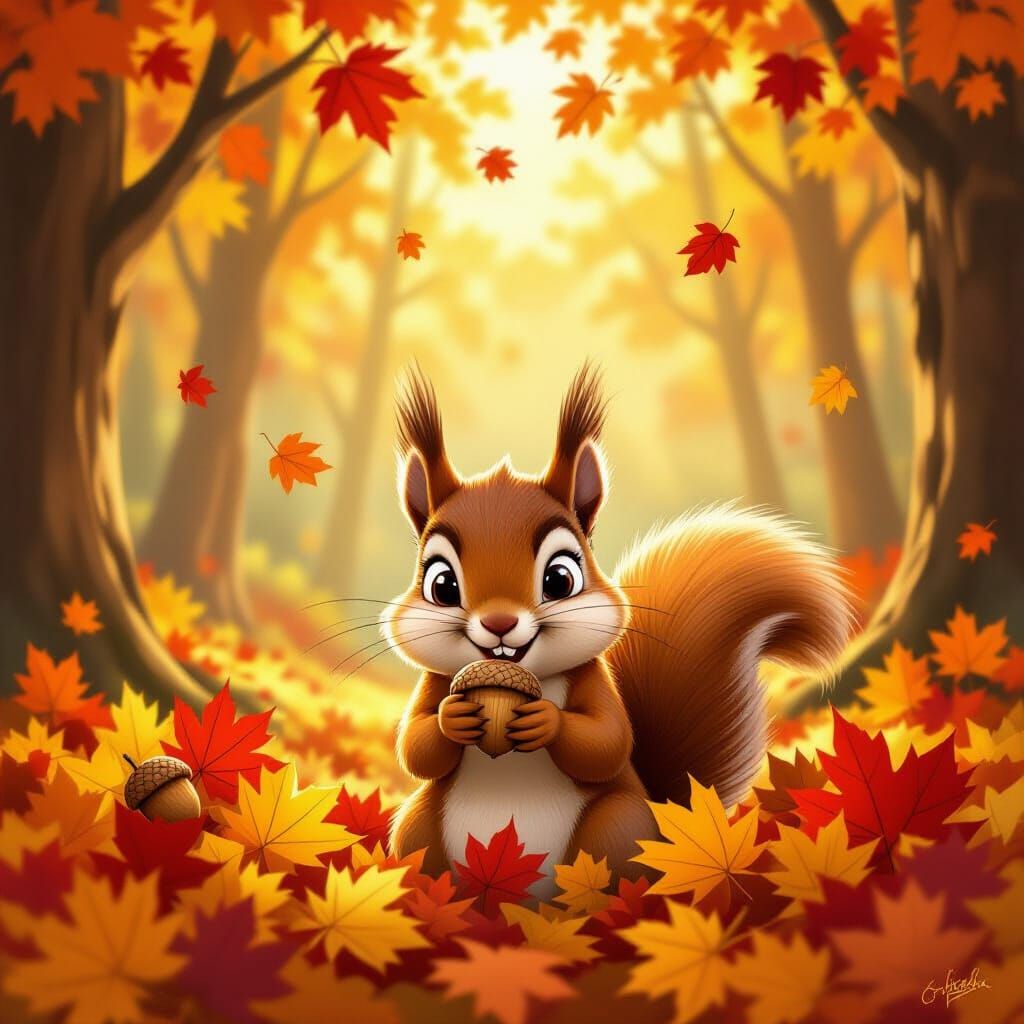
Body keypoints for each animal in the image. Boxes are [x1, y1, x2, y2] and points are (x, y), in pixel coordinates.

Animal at [385, 364, 853, 883]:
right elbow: (416, 744)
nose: (500, 622)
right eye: (442, 584)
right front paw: (453, 717)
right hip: (418, 827)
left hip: (618, 824)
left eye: (560, 578)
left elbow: (607, 741)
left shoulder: (595, 680)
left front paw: (547, 721)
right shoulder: (435, 682)